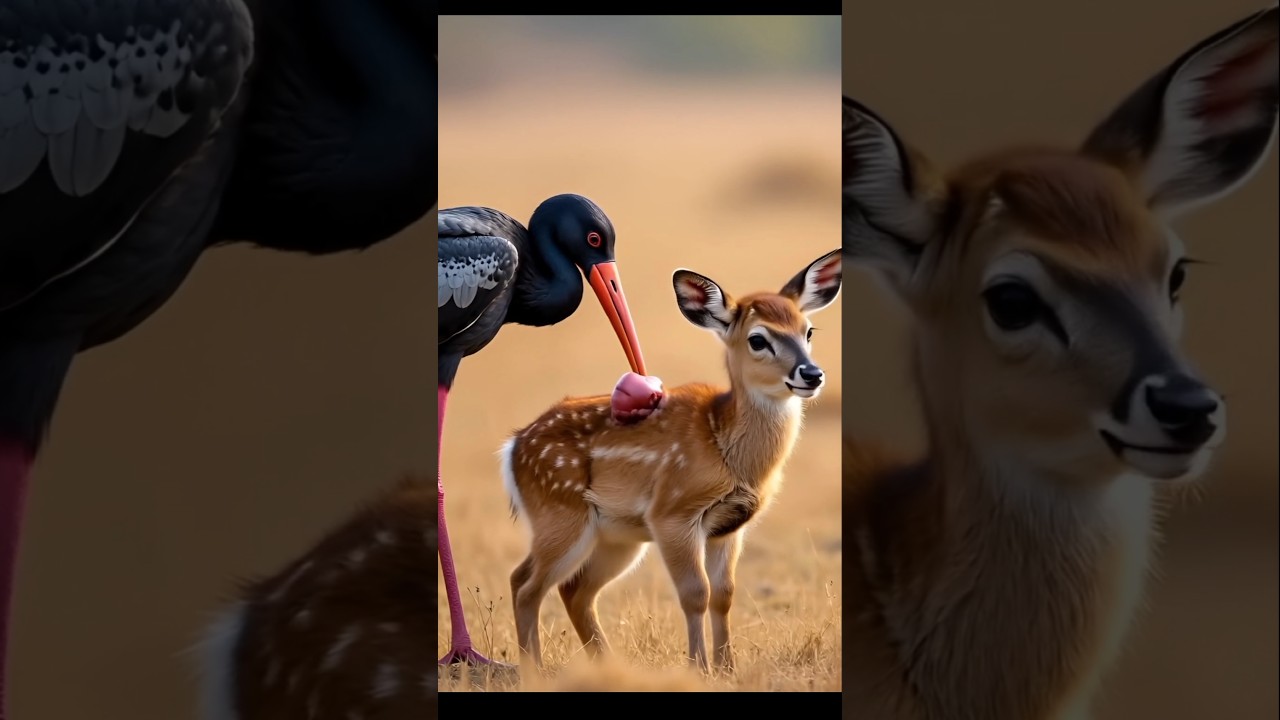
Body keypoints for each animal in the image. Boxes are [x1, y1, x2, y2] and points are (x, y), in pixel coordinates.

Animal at [499, 249, 842, 673]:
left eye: (808, 331)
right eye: (758, 339)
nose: (811, 374)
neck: (726, 446)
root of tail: (513, 447)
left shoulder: (729, 526)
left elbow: (724, 594)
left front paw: (727, 667)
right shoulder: (672, 512)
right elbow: (696, 592)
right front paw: (700, 667)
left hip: (617, 535)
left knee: (572, 588)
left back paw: (607, 664)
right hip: (560, 511)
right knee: (525, 583)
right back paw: (535, 668)